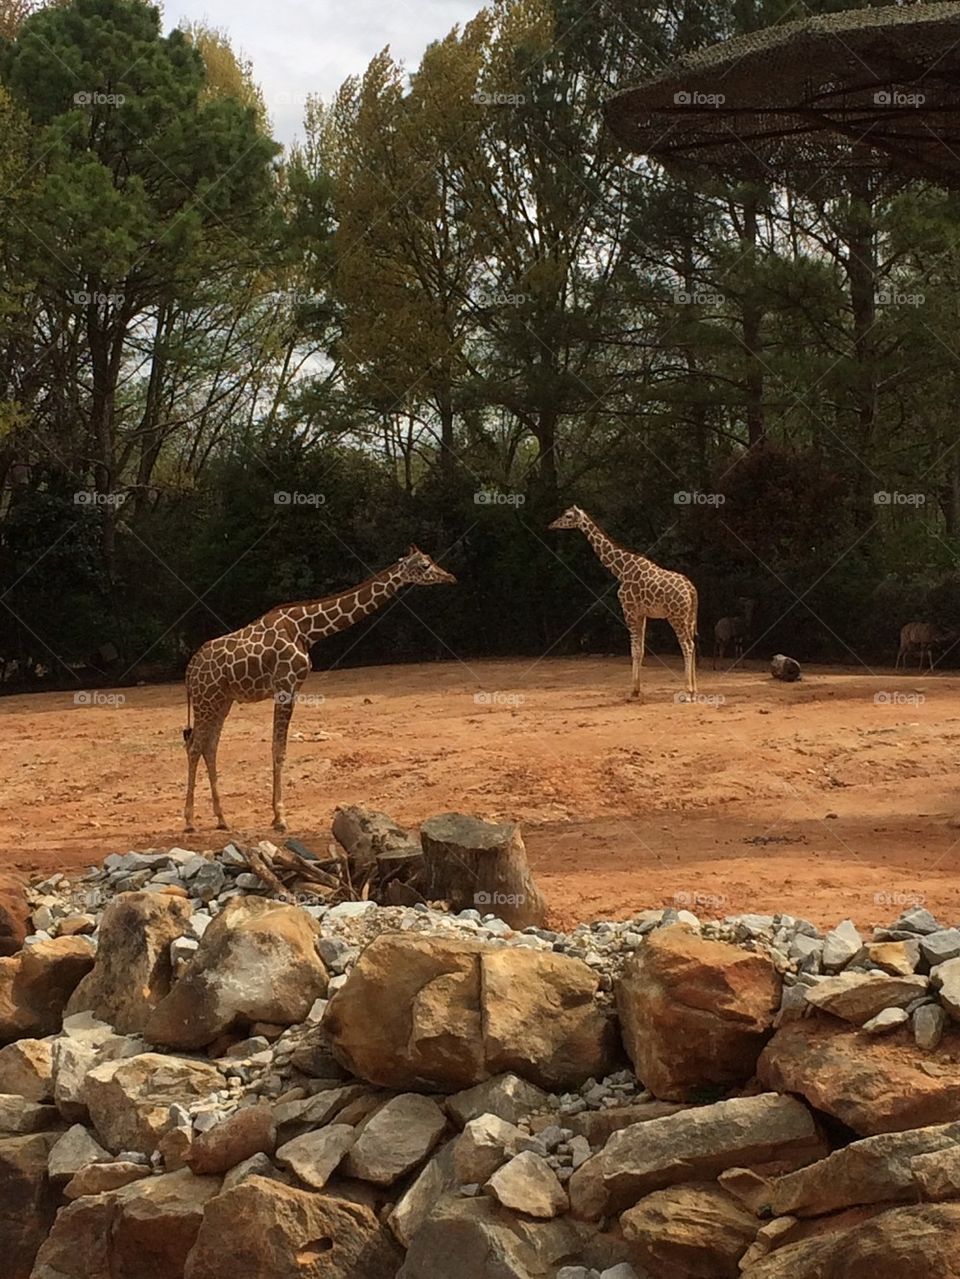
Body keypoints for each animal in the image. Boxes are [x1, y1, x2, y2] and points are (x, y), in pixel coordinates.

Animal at [182, 546, 455, 833]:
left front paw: (276, 815)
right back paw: (189, 821)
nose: (450, 576)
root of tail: (190, 670)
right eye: (425, 566)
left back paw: (222, 819)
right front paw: (280, 818)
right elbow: (278, 749)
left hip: (222, 700)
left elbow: (276, 748)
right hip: (206, 698)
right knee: (194, 746)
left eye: (431, 561)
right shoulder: (286, 685)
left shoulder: (290, 688)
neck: (307, 630)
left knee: (209, 746)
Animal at [548, 506, 698, 700]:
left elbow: (634, 649)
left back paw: (688, 692)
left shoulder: (628, 609)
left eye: (567, 516)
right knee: (693, 645)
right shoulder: (642, 613)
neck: (620, 569)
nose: (551, 525)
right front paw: (637, 689)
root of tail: (691, 589)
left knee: (687, 646)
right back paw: (695, 690)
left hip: (676, 617)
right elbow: (640, 650)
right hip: (689, 618)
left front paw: (633, 691)